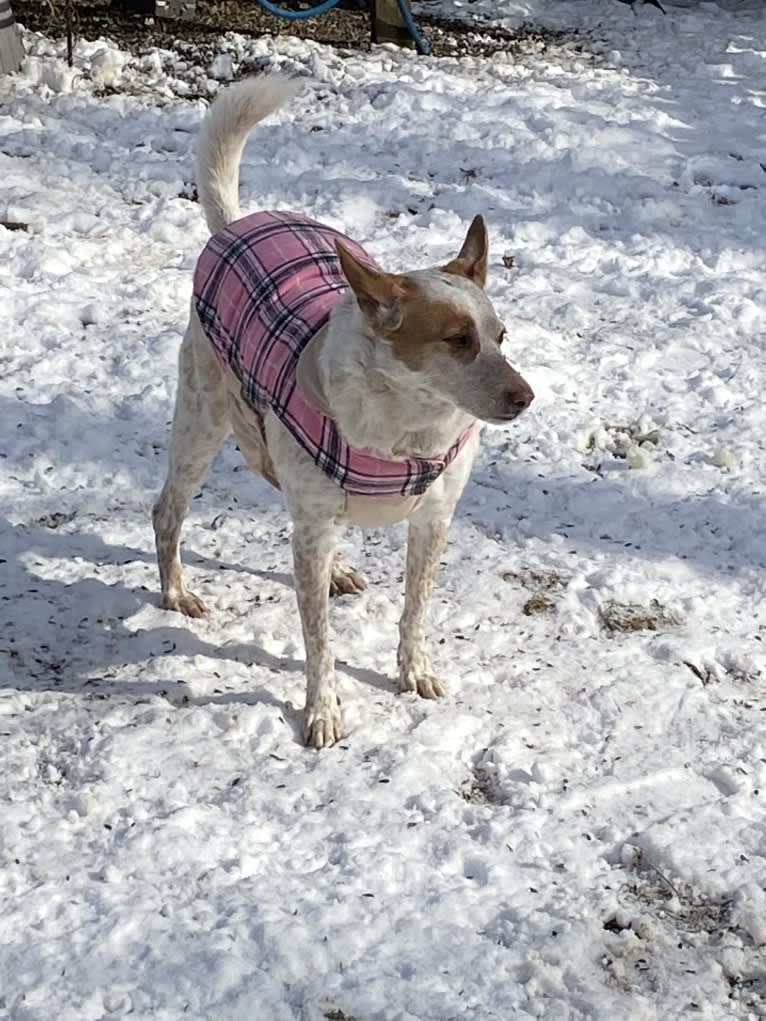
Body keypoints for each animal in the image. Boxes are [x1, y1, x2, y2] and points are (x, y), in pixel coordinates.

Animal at [150, 75, 535, 751]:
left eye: (500, 335)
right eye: (457, 340)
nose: (525, 396)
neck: (407, 429)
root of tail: (235, 225)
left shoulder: (433, 518)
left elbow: (415, 609)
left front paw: (415, 672)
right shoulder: (310, 524)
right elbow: (319, 641)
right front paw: (322, 711)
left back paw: (337, 569)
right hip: (202, 418)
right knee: (167, 510)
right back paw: (177, 591)